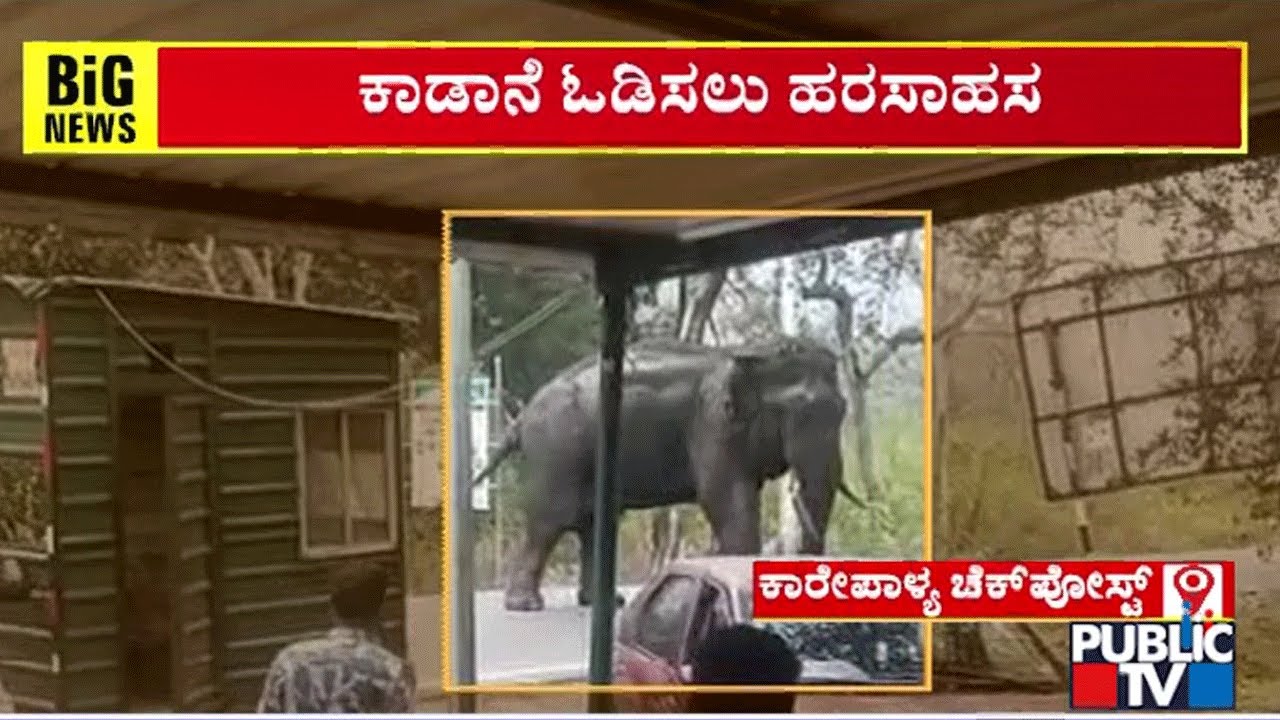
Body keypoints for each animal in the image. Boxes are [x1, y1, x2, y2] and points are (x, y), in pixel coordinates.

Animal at [472, 337, 861, 612]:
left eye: (843, 410)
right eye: (799, 414)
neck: (753, 351)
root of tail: (522, 416)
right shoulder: (711, 424)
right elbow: (726, 498)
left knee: (593, 523)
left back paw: (606, 603)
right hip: (558, 450)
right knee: (551, 521)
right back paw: (526, 605)